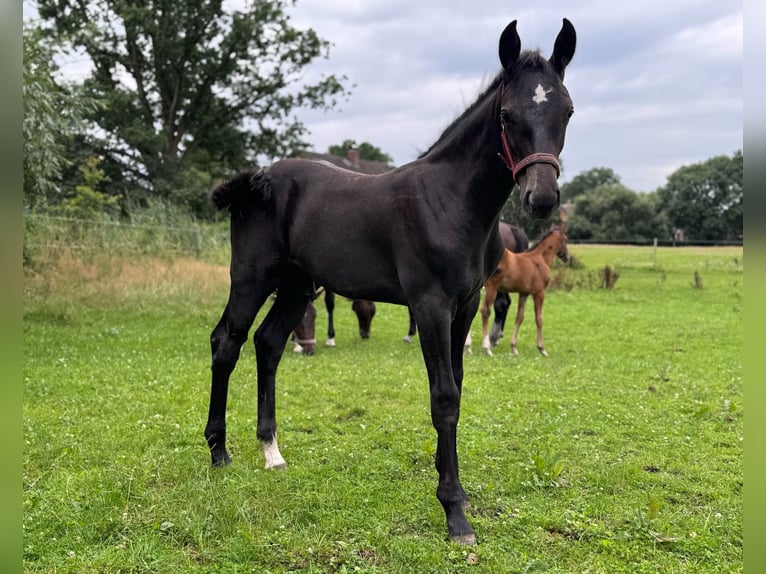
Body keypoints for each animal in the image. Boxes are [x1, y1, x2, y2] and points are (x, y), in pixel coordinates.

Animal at [473, 223, 569, 357]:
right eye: (566, 239)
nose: (567, 257)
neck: (540, 259)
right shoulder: (539, 293)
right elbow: (539, 319)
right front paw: (542, 348)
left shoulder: (524, 293)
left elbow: (519, 317)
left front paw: (514, 347)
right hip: (492, 287)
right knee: (485, 310)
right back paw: (487, 347)